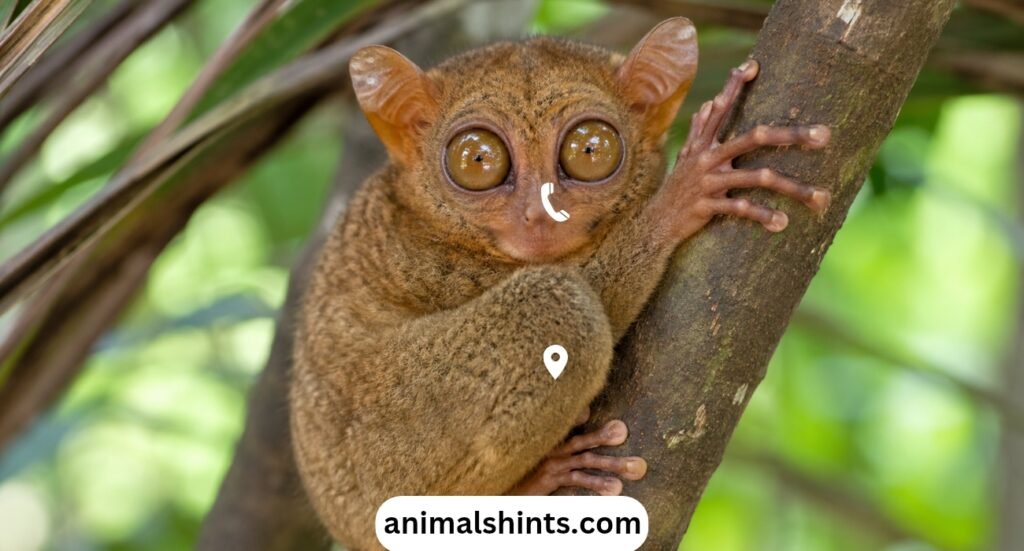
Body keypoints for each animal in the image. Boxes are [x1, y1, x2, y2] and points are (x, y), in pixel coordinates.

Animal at [290, 17, 831, 550]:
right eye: (477, 160)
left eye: (590, 150)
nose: (539, 213)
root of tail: (345, 525)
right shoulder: (435, 267)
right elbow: (592, 292)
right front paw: (681, 197)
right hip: (387, 452)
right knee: (559, 302)